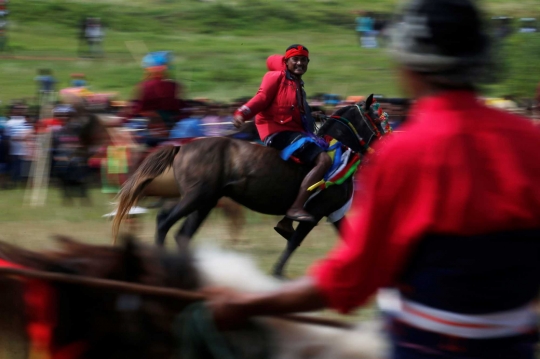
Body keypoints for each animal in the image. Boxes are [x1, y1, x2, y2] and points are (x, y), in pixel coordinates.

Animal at [113, 94, 388, 278]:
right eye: (378, 119)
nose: (390, 141)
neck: (339, 149)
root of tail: (181, 146)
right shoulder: (316, 212)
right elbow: (293, 242)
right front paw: (277, 273)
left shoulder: (334, 213)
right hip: (196, 197)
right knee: (164, 222)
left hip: (205, 202)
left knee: (181, 233)